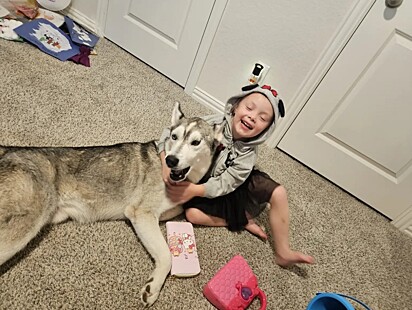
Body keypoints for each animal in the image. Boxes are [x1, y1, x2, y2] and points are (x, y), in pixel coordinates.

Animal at [0, 103, 224, 306]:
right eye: (174, 137)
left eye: (195, 142)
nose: (171, 160)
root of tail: (8, 151)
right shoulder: (140, 213)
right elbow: (166, 255)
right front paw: (153, 288)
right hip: (27, 223)